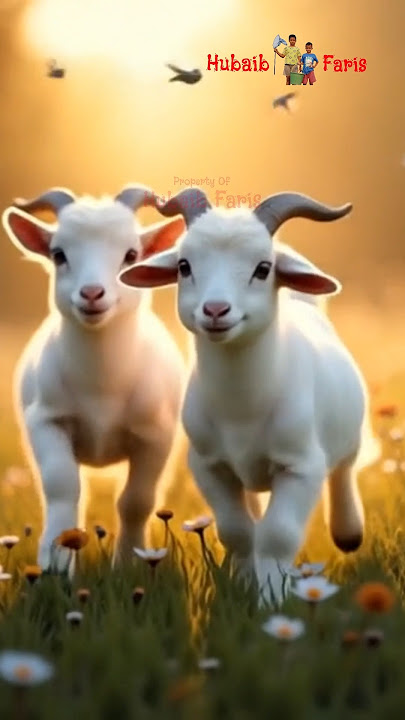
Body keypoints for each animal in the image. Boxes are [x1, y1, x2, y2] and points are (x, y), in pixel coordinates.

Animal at [2, 185, 187, 572]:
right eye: (58, 254)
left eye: (131, 255)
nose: (91, 294)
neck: (101, 388)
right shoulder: (47, 420)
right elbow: (63, 487)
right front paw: (55, 563)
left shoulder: (156, 433)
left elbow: (136, 500)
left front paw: (131, 562)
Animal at [119, 188, 380, 605]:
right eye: (184, 266)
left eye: (263, 268)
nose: (215, 310)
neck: (241, 406)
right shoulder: (209, 466)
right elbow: (238, 531)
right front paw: (242, 584)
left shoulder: (301, 466)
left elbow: (278, 535)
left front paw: (272, 597)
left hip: (345, 438)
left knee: (343, 470)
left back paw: (348, 531)